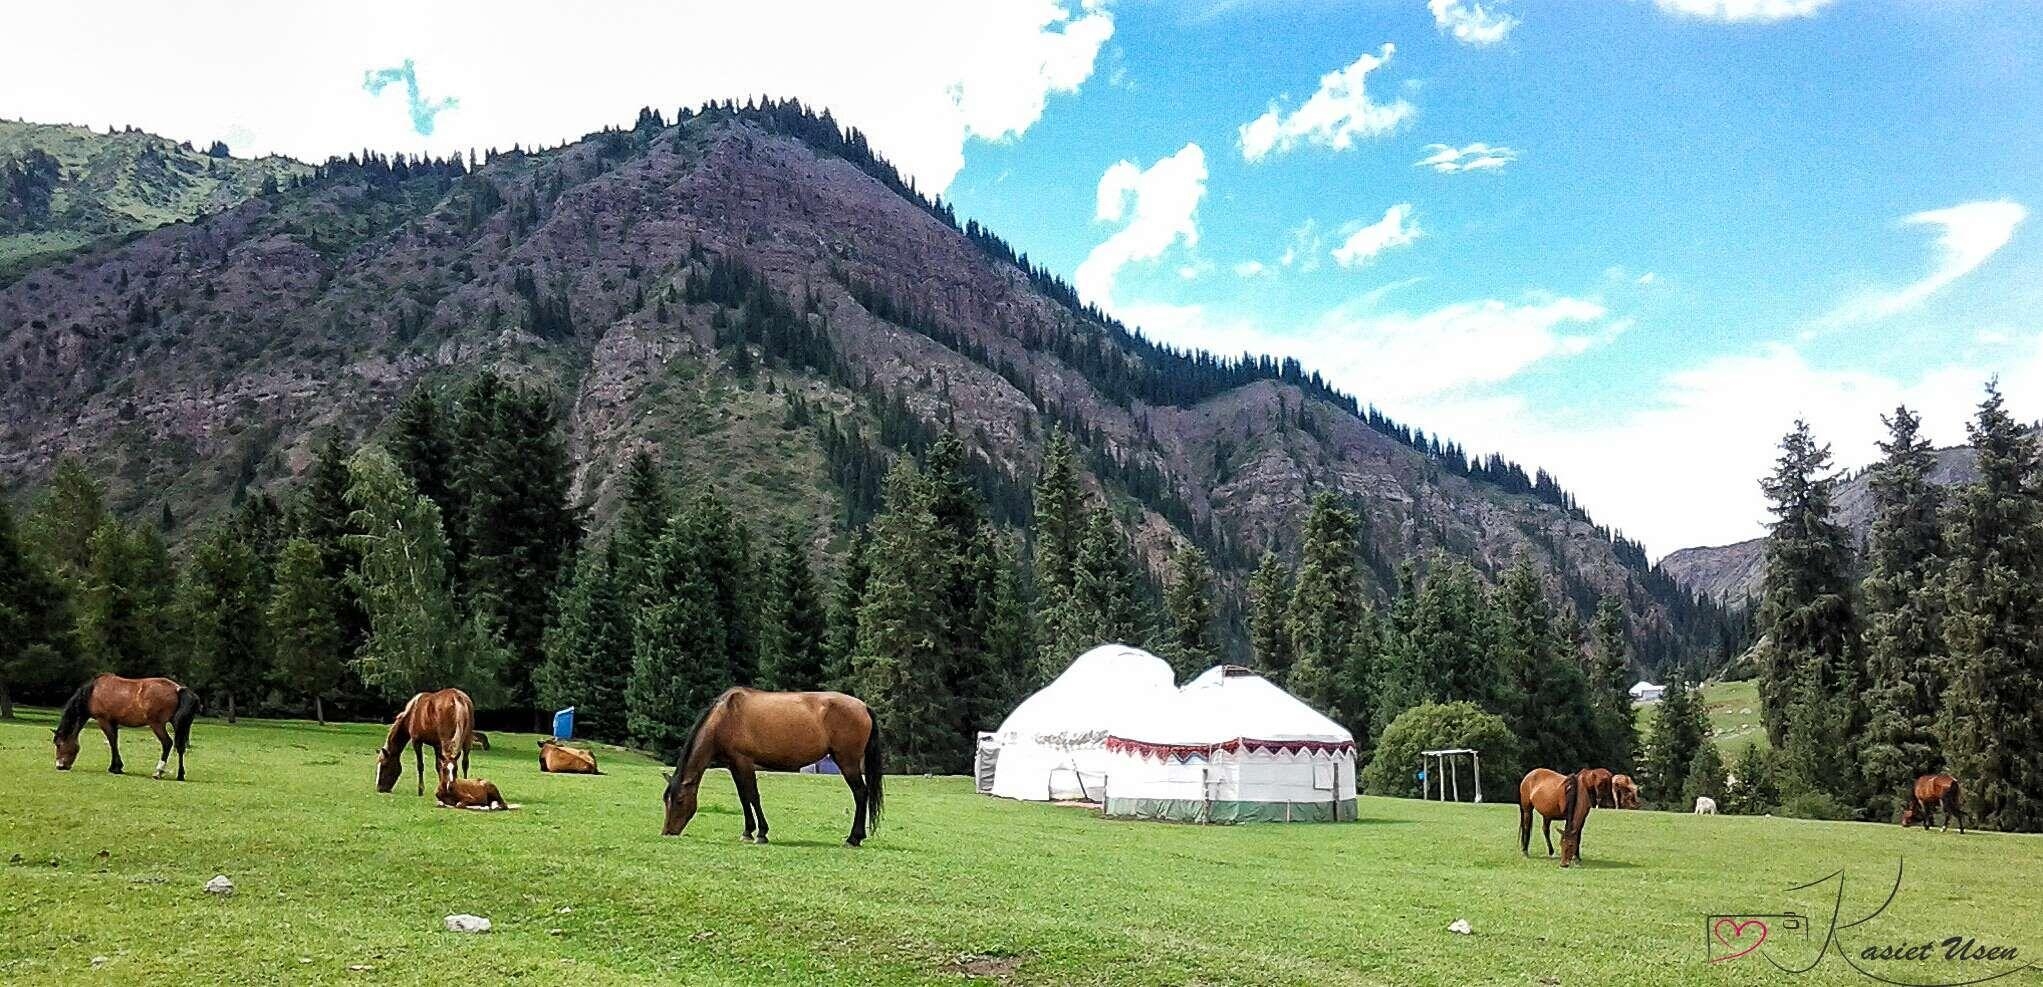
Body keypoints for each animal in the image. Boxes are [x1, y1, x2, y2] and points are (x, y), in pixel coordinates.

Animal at [52, 674, 199, 784]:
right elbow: (115, 741)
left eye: (58, 744)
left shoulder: (103, 721)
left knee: (167, 743)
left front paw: (114, 768)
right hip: (180, 726)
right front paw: (118, 766)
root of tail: (178, 689)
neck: (93, 692)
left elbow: (112, 742)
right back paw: (180, 774)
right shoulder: (114, 722)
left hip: (157, 724)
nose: (60, 766)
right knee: (180, 747)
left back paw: (158, 771)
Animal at [666, 686, 882, 850]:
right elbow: (743, 797)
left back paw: (853, 838)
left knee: (861, 793)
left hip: (847, 761)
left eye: (679, 800)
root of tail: (864, 706)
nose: (667, 832)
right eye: (665, 799)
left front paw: (761, 833)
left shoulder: (744, 762)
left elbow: (753, 796)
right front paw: (747, 832)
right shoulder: (733, 765)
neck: (726, 717)